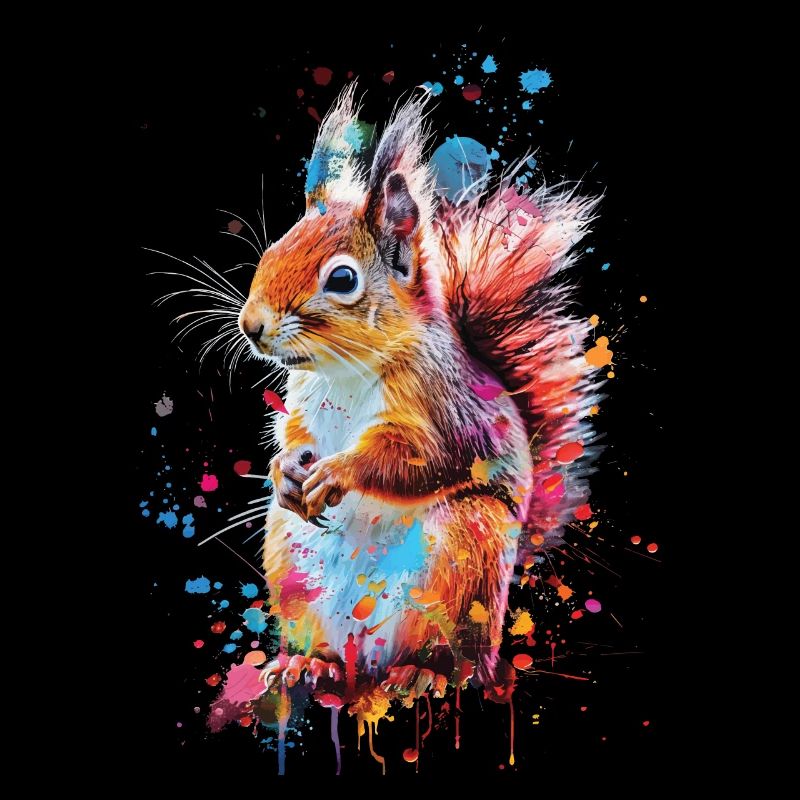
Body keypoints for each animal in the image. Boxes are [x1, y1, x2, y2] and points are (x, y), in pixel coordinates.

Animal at [238, 86, 599, 692]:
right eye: (271, 253)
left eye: (342, 279)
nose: (251, 325)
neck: (344, 370)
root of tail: (366, 658)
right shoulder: (304, 404)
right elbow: (293, 435)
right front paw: (285, 470)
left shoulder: (444, 406)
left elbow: (420, 459)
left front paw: (339, 472)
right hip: (292, 563)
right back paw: (306, 664)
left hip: (465, 558)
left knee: (452, 658)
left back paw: (421, 676)